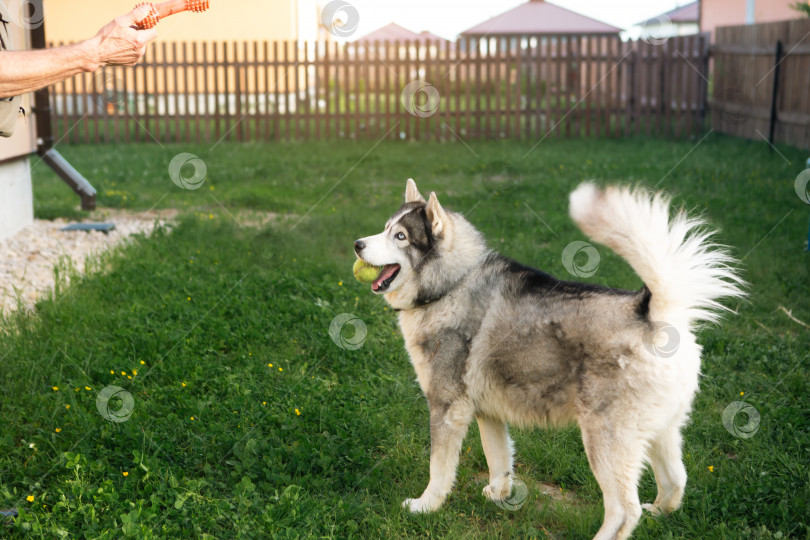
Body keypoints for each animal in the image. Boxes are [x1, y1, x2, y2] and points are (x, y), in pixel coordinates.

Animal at [354, 179, 744, 536]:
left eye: (400, 236)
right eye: (385, 228)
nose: (357, 245)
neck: (452, 283)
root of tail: (651, 312)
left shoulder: (447, 408)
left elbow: (439, 469)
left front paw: (425, 506)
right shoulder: (487, 412)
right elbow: (499, 459)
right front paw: (499, 495)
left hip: (605, 441)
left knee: (623, 511)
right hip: (661, 433)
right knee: (676, 480)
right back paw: (660, 514)